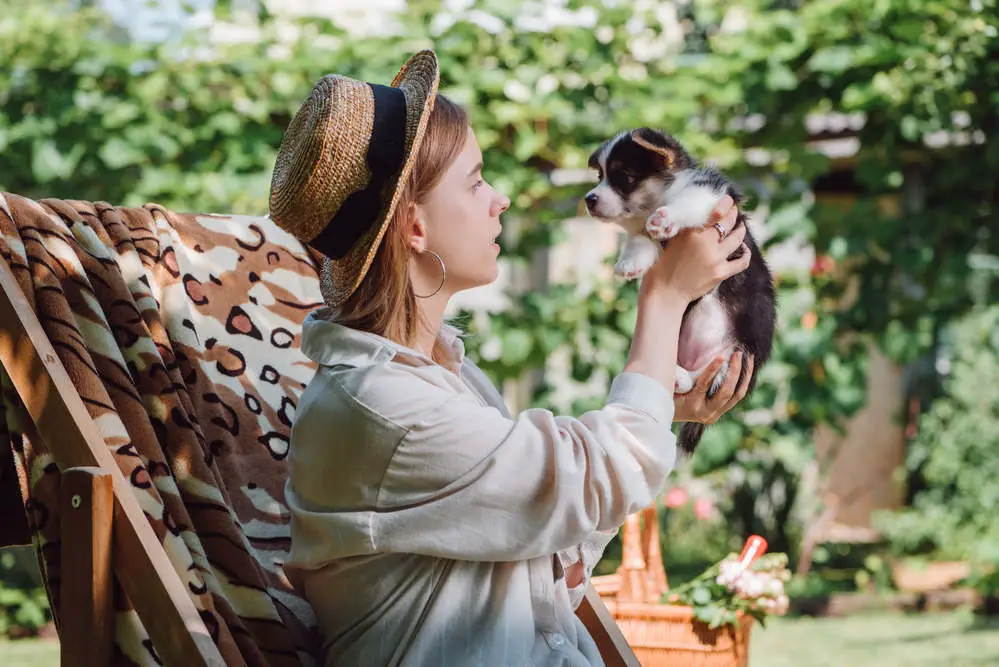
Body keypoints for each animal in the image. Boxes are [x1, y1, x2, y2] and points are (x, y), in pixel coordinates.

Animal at [584, 128, 780, 456]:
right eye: (600, 176)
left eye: (624, 177)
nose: (589, 199)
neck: (661, 194)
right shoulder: (644, 233)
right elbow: (641, 240)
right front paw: (629, 262)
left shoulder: (708, 193)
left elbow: (686, 204)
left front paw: (665, 218)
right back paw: (676, 376)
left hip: (738, 356)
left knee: (706, 377)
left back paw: (679, 377)